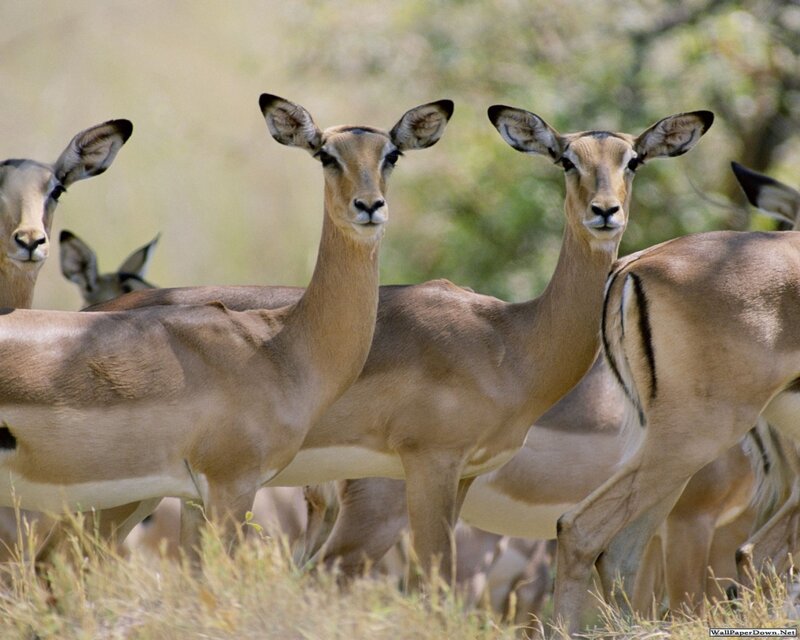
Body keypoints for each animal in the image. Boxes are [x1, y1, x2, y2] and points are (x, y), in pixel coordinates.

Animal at [0, 94, 453, 556]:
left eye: (391, 155)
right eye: (326, 155)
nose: (369, 207)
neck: (277, 345)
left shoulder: (196, 498)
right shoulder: (230, 486)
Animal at [91, 107, 713, 581]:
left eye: (632, 160)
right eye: (566, 159)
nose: (605, 213)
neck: (507, 338)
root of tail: (99, 313)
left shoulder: (463, 473)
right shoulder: (429, 465)